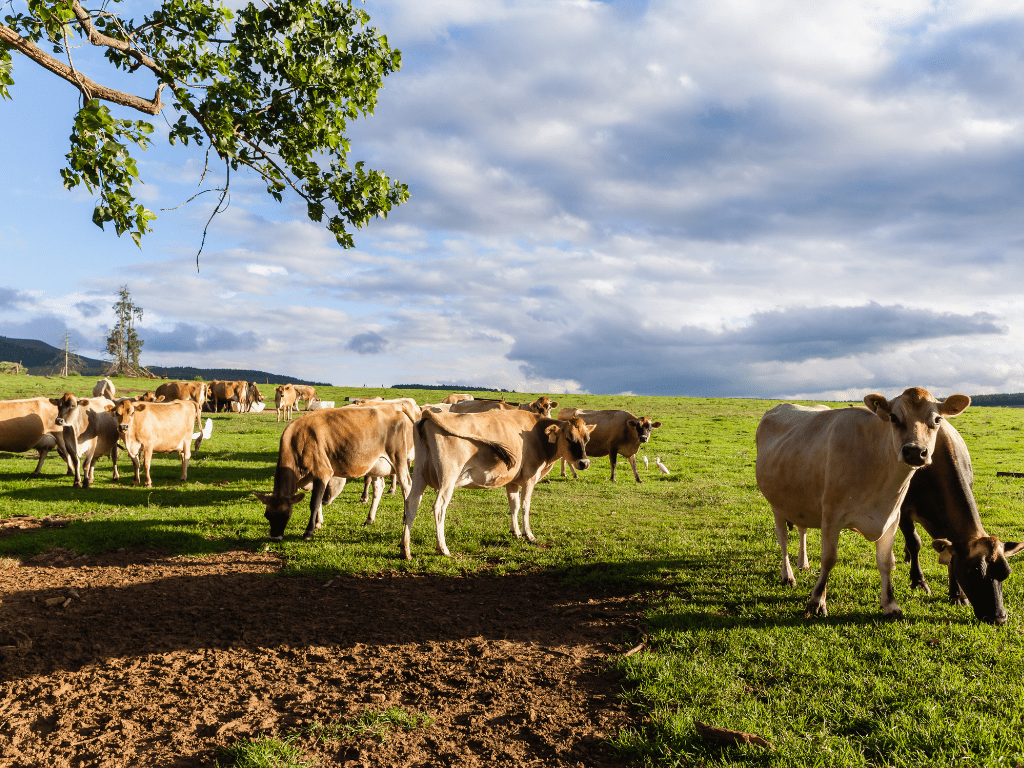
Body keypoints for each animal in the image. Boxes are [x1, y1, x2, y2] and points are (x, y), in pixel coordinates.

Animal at [256, 403, 419, 540]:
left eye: (286, 514)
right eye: (267, 515)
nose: (274, 538)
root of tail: (396, 407)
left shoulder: (322, 471)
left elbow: (314, 502)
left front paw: (309, 532)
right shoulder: (314, 477)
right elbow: (319, 500)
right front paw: (318, 523)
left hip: (399, 459)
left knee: (407, 487)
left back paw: (405, 518)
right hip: (377, 465)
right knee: (378, 489)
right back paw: (369, 519)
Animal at [397, 409, 593, 561]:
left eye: (587, 439)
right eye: (568, 438)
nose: (584, 463)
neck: (536, 433)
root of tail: (428, 414)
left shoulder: (512, 481)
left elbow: (513, 505)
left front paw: (516, 532)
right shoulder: (530, 477)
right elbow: (525, 506)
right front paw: (529, 535)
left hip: (419, 473)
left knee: (411, 504)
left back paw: (405, 549)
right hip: (448, 476)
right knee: (439, 507)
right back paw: (443, 548)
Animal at [757, 387, 970, 622]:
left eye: (937, 419)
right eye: (894, 417)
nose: (915, 451)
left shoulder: (892, 518)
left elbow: (886, 563)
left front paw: (891, 605)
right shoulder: (831, 515)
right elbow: (829, 559)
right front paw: (817, 601)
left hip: (800, 501)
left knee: (802, 529)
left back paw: (803, 563)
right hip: (776, 503)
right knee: (783, 539)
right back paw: (788, 575)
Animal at [897, 421, 1024, 626]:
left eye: (1006, 573)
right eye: (973, 573)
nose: (998, 618)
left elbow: (950, 555)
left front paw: (957, 595)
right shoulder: (903, 510)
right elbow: (914, 543)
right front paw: (918, 582)